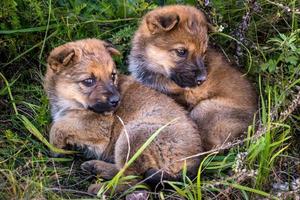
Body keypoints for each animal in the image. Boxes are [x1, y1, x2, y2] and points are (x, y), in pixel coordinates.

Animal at [45, 38, 204, 194]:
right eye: (88, 81)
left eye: (112, 75)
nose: (117, 100)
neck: (70, 104)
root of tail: (193, 164)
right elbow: (59, 123)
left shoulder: (99, 128)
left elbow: (58, 126)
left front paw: (55, 148)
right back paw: (96, 167)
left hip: (133, 135)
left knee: (134, 182)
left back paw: (101, 188)